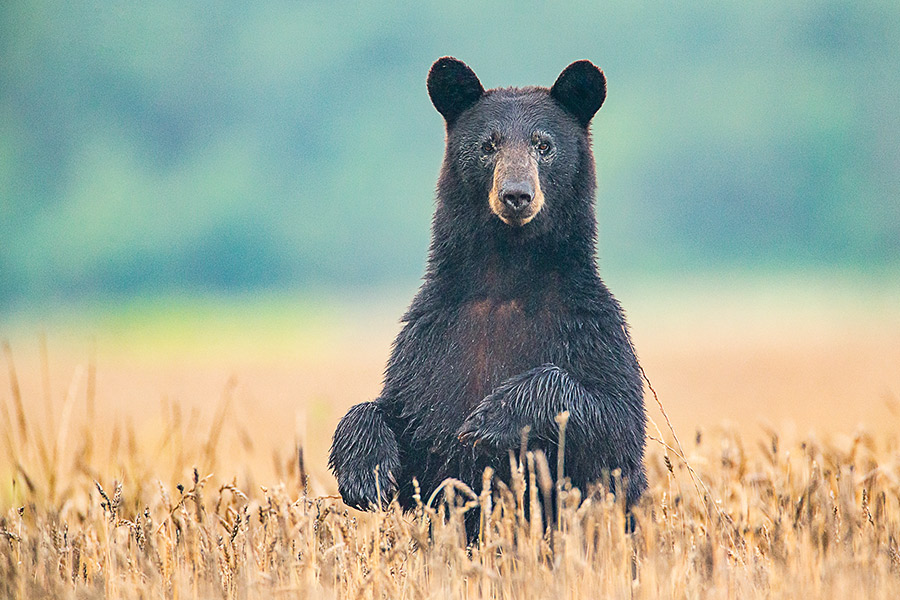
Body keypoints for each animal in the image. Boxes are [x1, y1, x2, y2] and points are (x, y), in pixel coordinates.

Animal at [330, 57, 648, 520]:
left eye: (543, 145)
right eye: (488, 145)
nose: (516, 194)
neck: (507, 278)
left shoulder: (589, 326)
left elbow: (615, 422)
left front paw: (491, 417)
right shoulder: (431, 339)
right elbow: (403, 419)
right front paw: (366, 472)